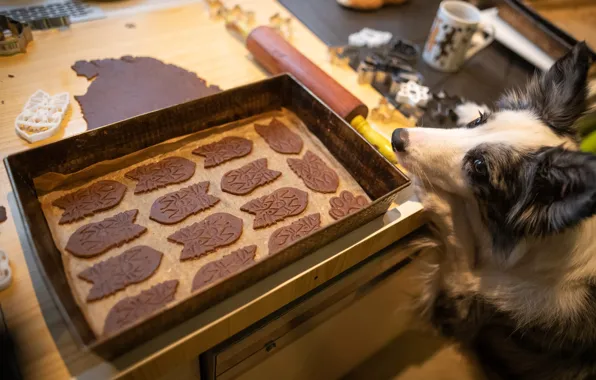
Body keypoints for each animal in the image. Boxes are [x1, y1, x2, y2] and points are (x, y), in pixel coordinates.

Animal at [392, 42, 596, 380]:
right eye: (479, 122)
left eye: (479, 166)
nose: (397, 137)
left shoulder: (464, 307)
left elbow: (459, 234)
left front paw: (430, 193)